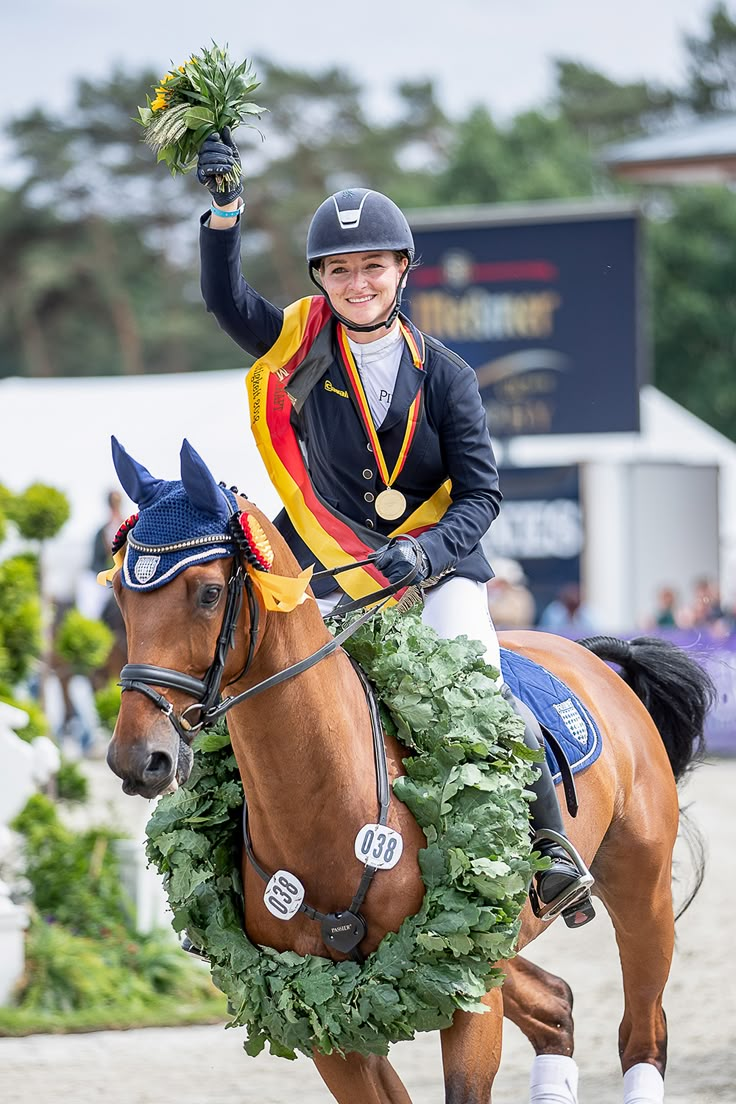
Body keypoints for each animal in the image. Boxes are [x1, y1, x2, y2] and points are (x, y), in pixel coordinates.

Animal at [106, 439, 715, 1104]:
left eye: (209, 593)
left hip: (638, 893)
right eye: (121, 599)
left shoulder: (469, 988)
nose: (137, 759)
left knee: (643, 1032)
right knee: (556, 1004)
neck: (325, 805)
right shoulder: (320, 1013)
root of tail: (593, 656)